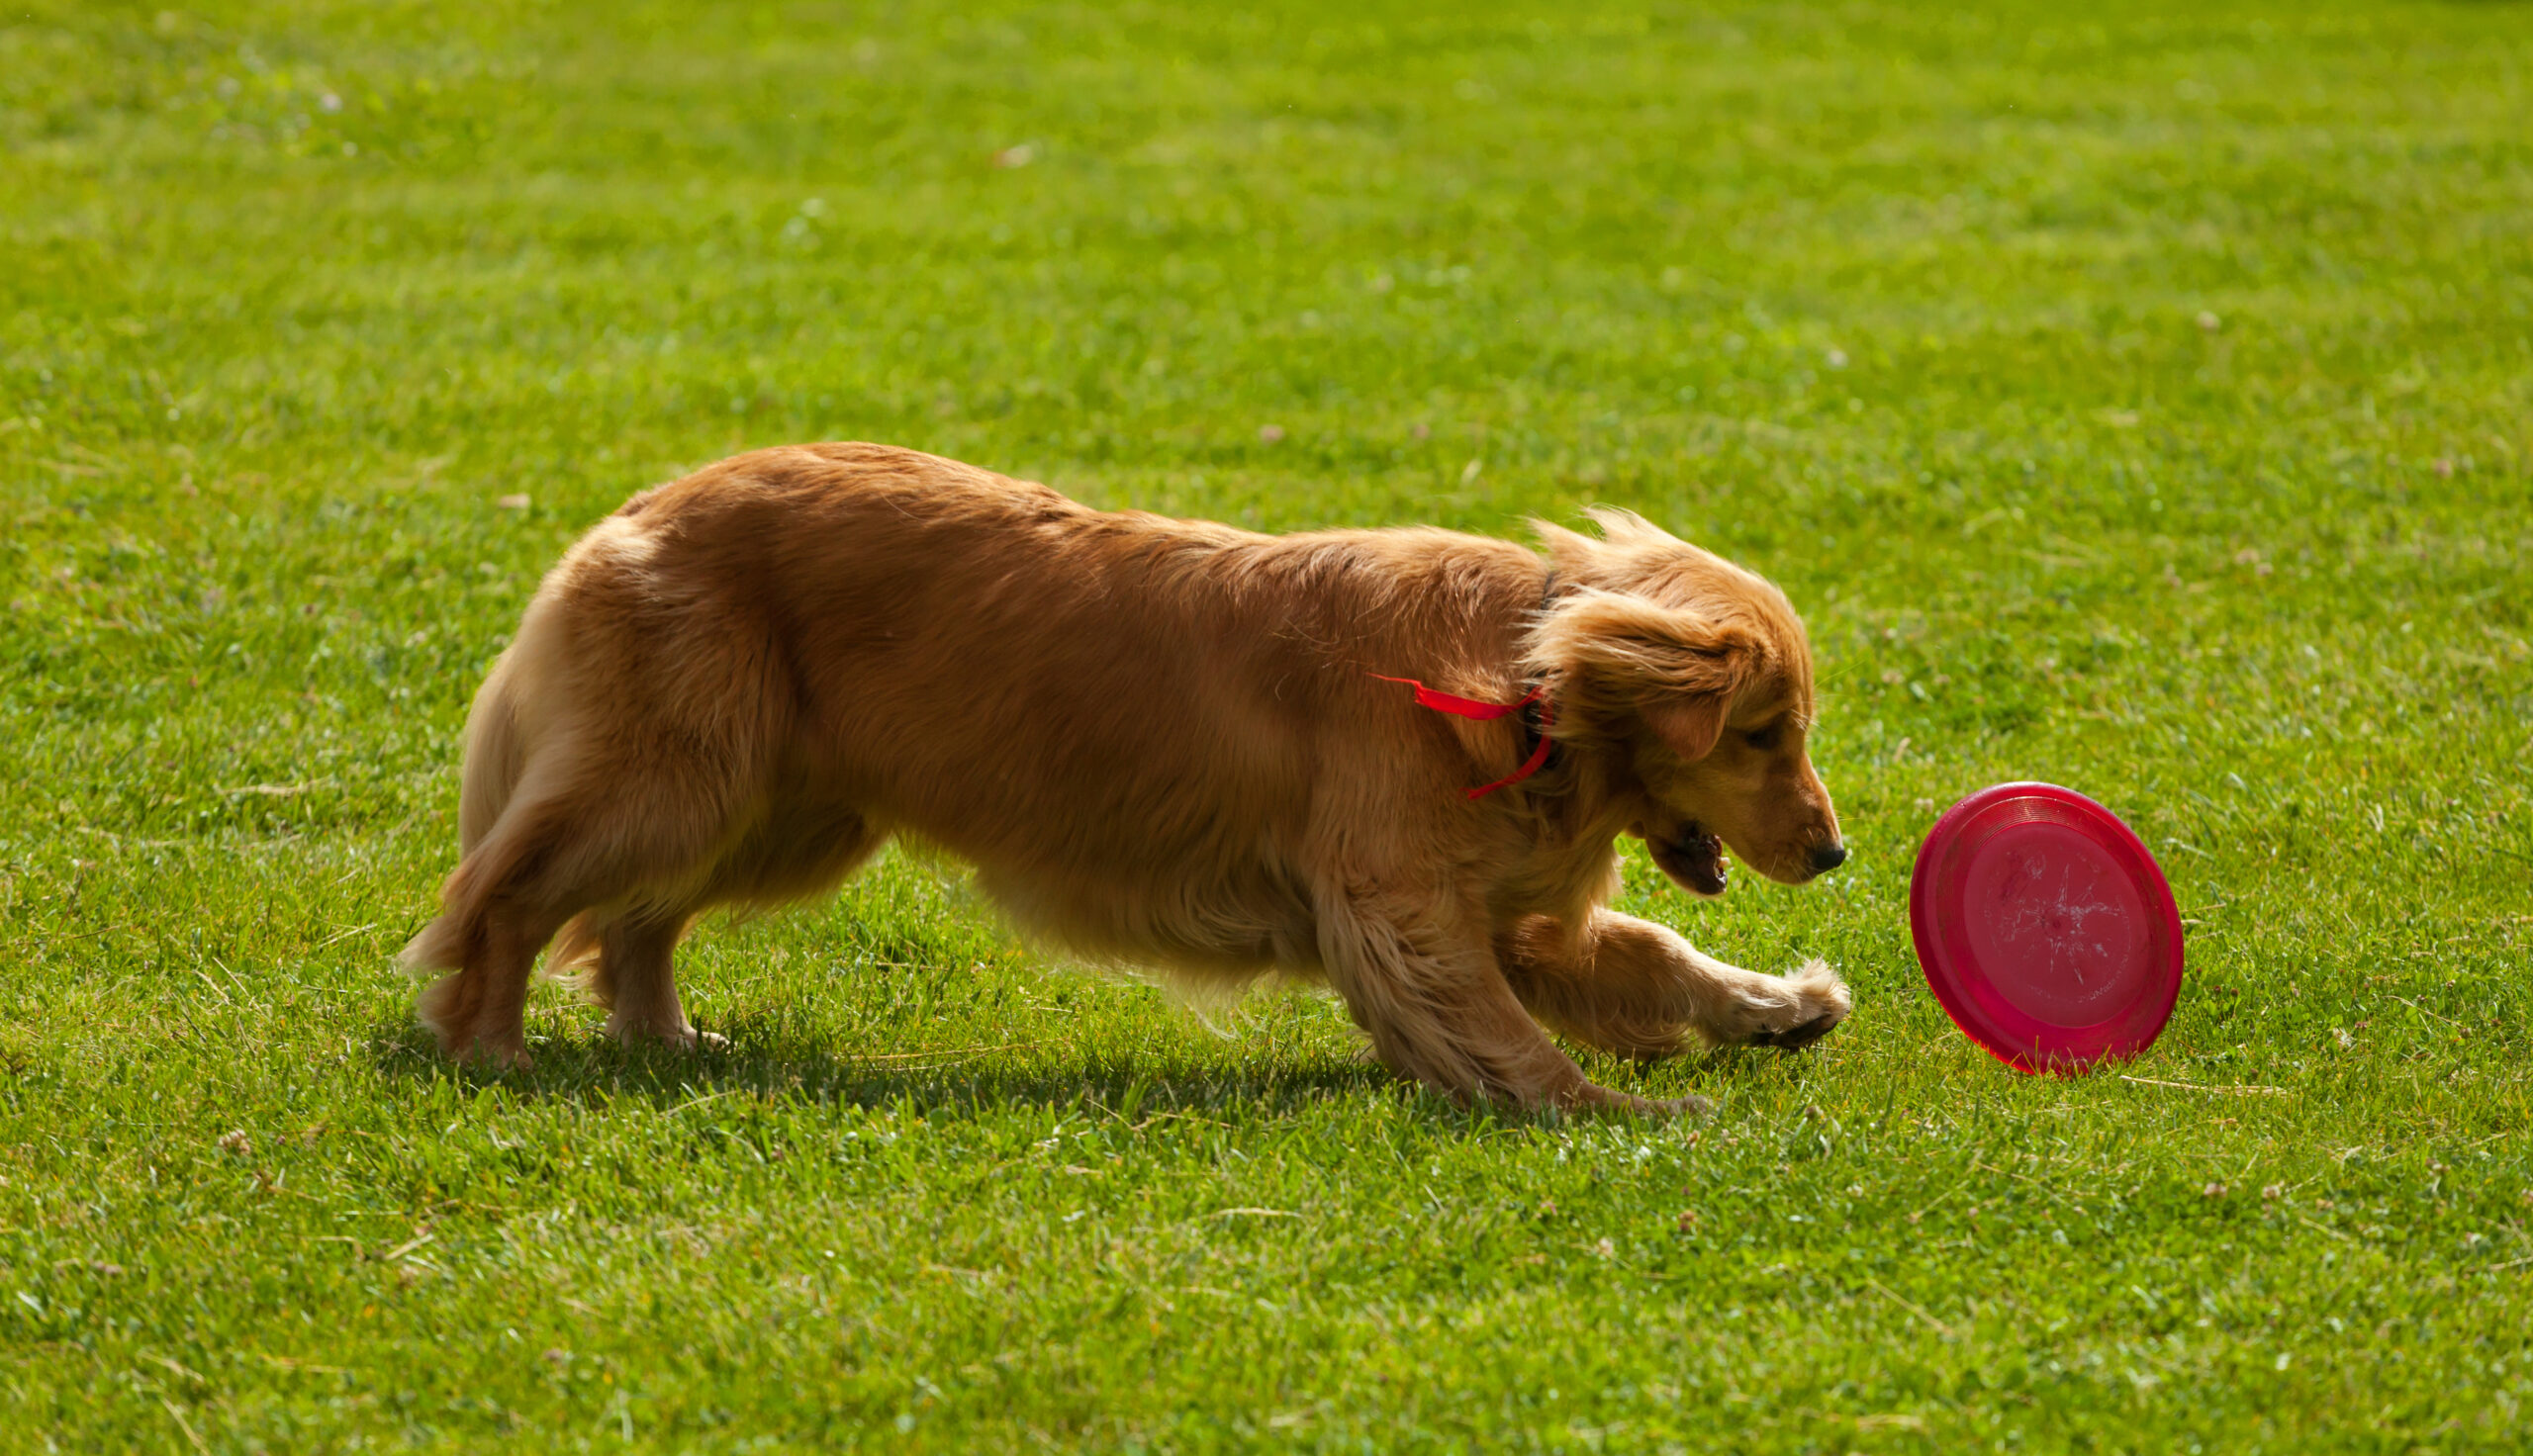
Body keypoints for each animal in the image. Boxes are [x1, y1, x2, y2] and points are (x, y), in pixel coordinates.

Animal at [405, 445, 1853, 1114]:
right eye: (1765, 732)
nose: (1836, 851)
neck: (1522, 672)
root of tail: (640, 505)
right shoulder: (1398, 906)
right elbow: (1503, 1033)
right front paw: (1615, 1112)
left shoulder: (1493, 912)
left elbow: (1649, 955)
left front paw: (1776, 1005)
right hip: (677, 781)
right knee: (510, 899)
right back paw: (490, 1045)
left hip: (779, 809)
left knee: (634, 921)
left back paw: (661, 1037)